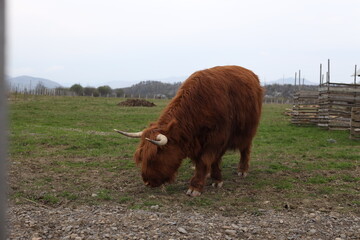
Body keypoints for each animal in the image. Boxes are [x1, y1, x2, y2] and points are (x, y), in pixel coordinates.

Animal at [115, 64, 262, 196]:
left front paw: (197, 186)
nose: (147, 182)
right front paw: (213, 177)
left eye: (153, 158)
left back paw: (242, 170)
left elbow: (205, 160)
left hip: (247, 131)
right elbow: (209, 161)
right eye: (141, 157)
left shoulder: (216, 139)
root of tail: (252, 74)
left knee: (245, 149)